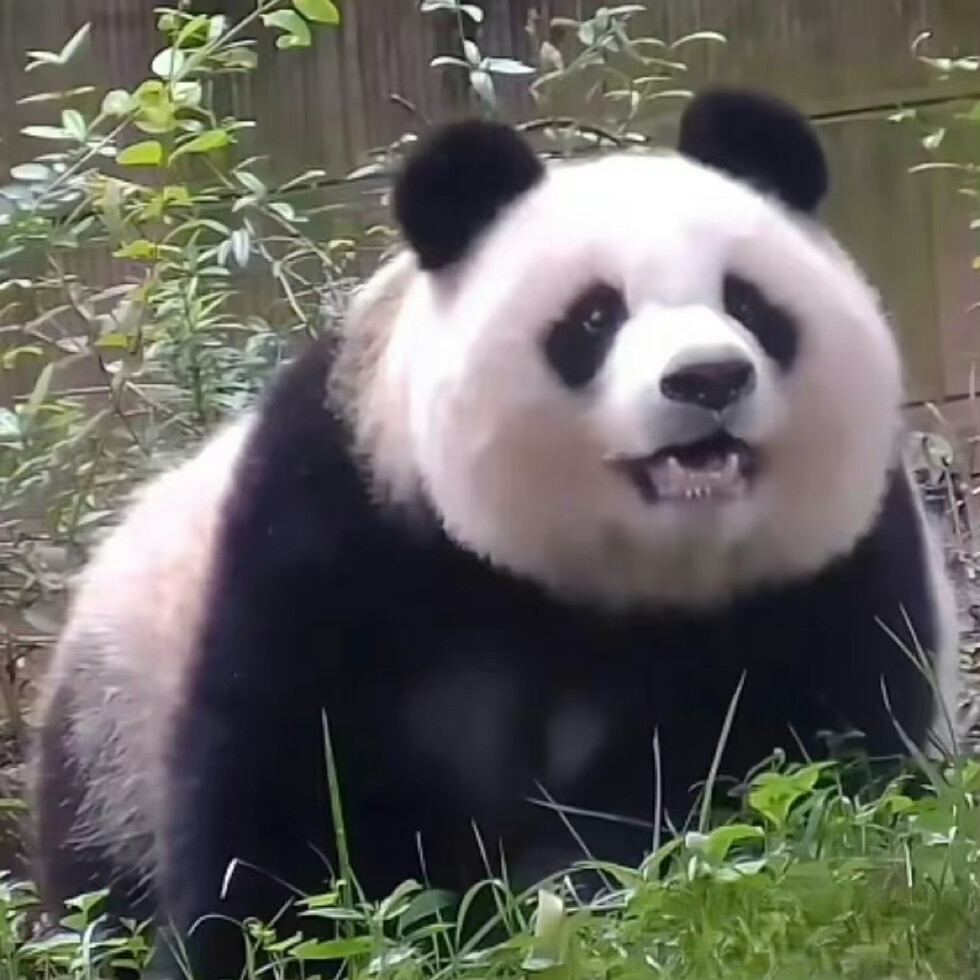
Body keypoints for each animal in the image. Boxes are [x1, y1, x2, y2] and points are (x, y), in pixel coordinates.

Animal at [28, 86, 956, 980]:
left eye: (750, 304)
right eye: (594, 318)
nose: (708, 378)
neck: (629, 577)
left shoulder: (828, 568)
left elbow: (804, 762)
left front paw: (579, 889)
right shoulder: (342, 527)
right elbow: (284, 793)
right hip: (108, 728)